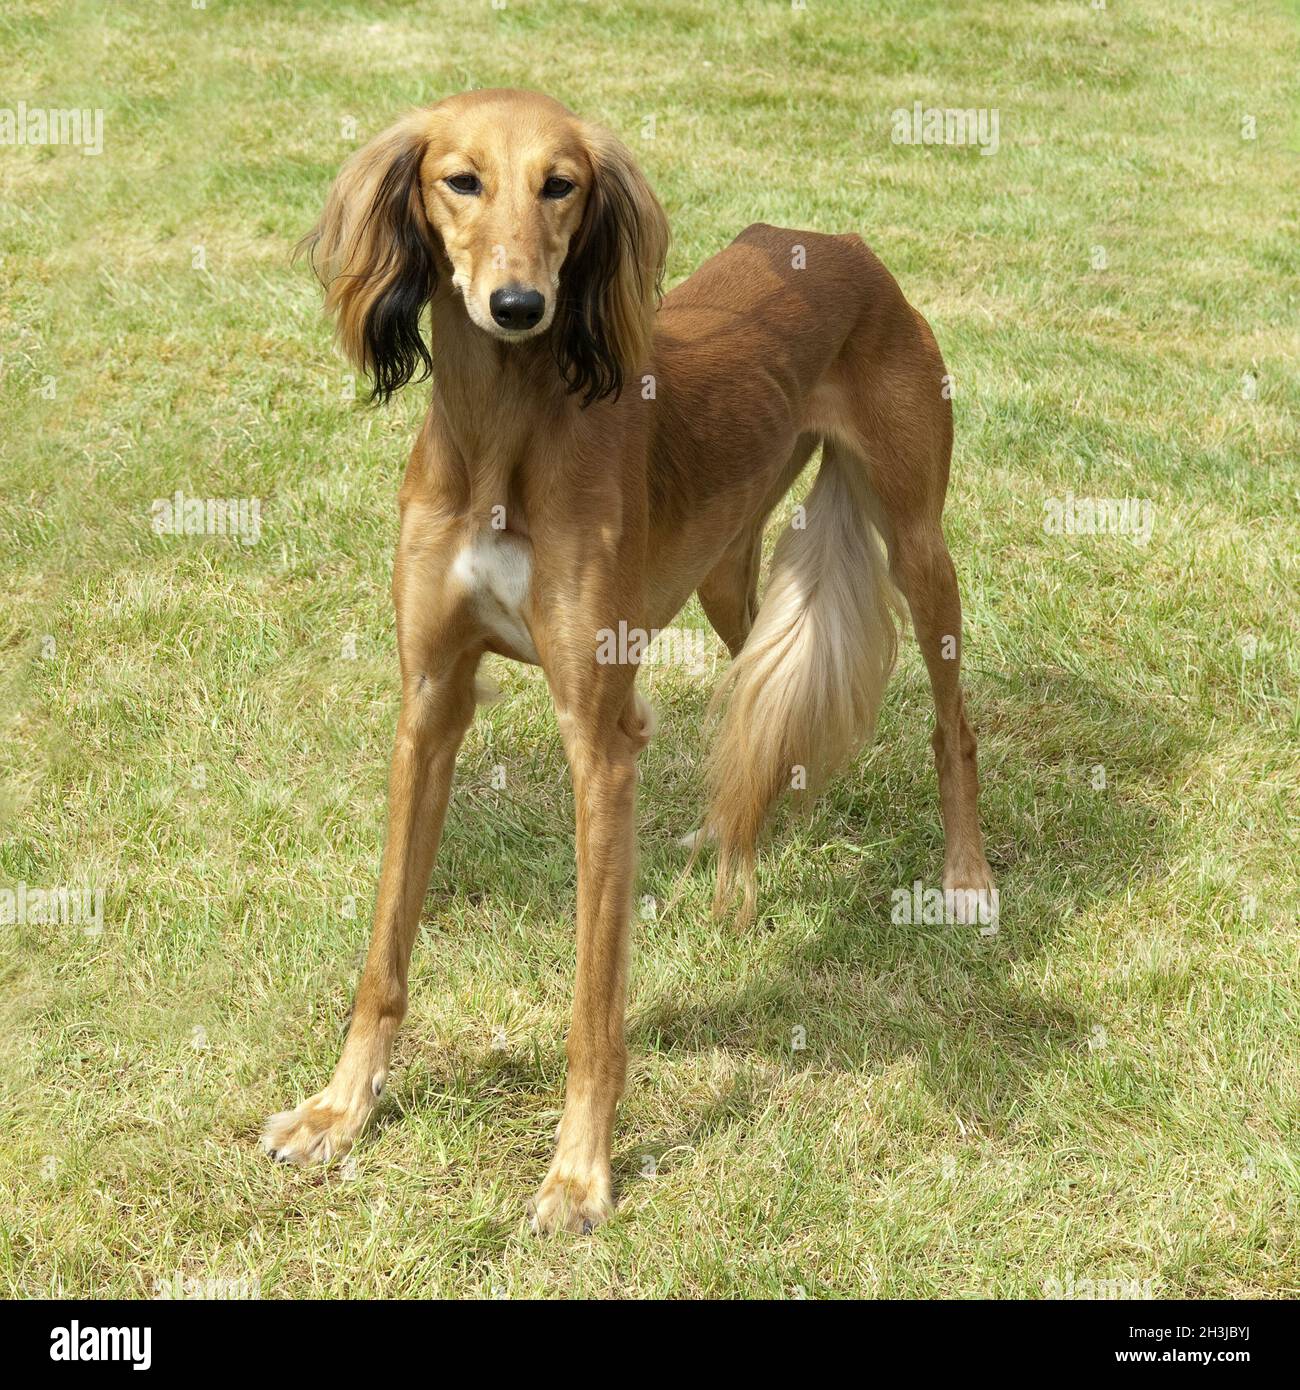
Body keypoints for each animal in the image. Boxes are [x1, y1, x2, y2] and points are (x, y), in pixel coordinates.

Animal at [264, 86, 995, 1234]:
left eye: (561, 184)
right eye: (460, 180)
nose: (518, 304)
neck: (501, 439)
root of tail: (835, 242)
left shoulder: (599, 740)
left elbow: (593, 1003)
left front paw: (577, 1174)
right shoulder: (429, 701)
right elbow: (384, 949)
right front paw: (340, 1112)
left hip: (918, 538)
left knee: (949, 717)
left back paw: (962, 878)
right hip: (728, 577)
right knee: (760, 708)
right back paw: (734, 856)